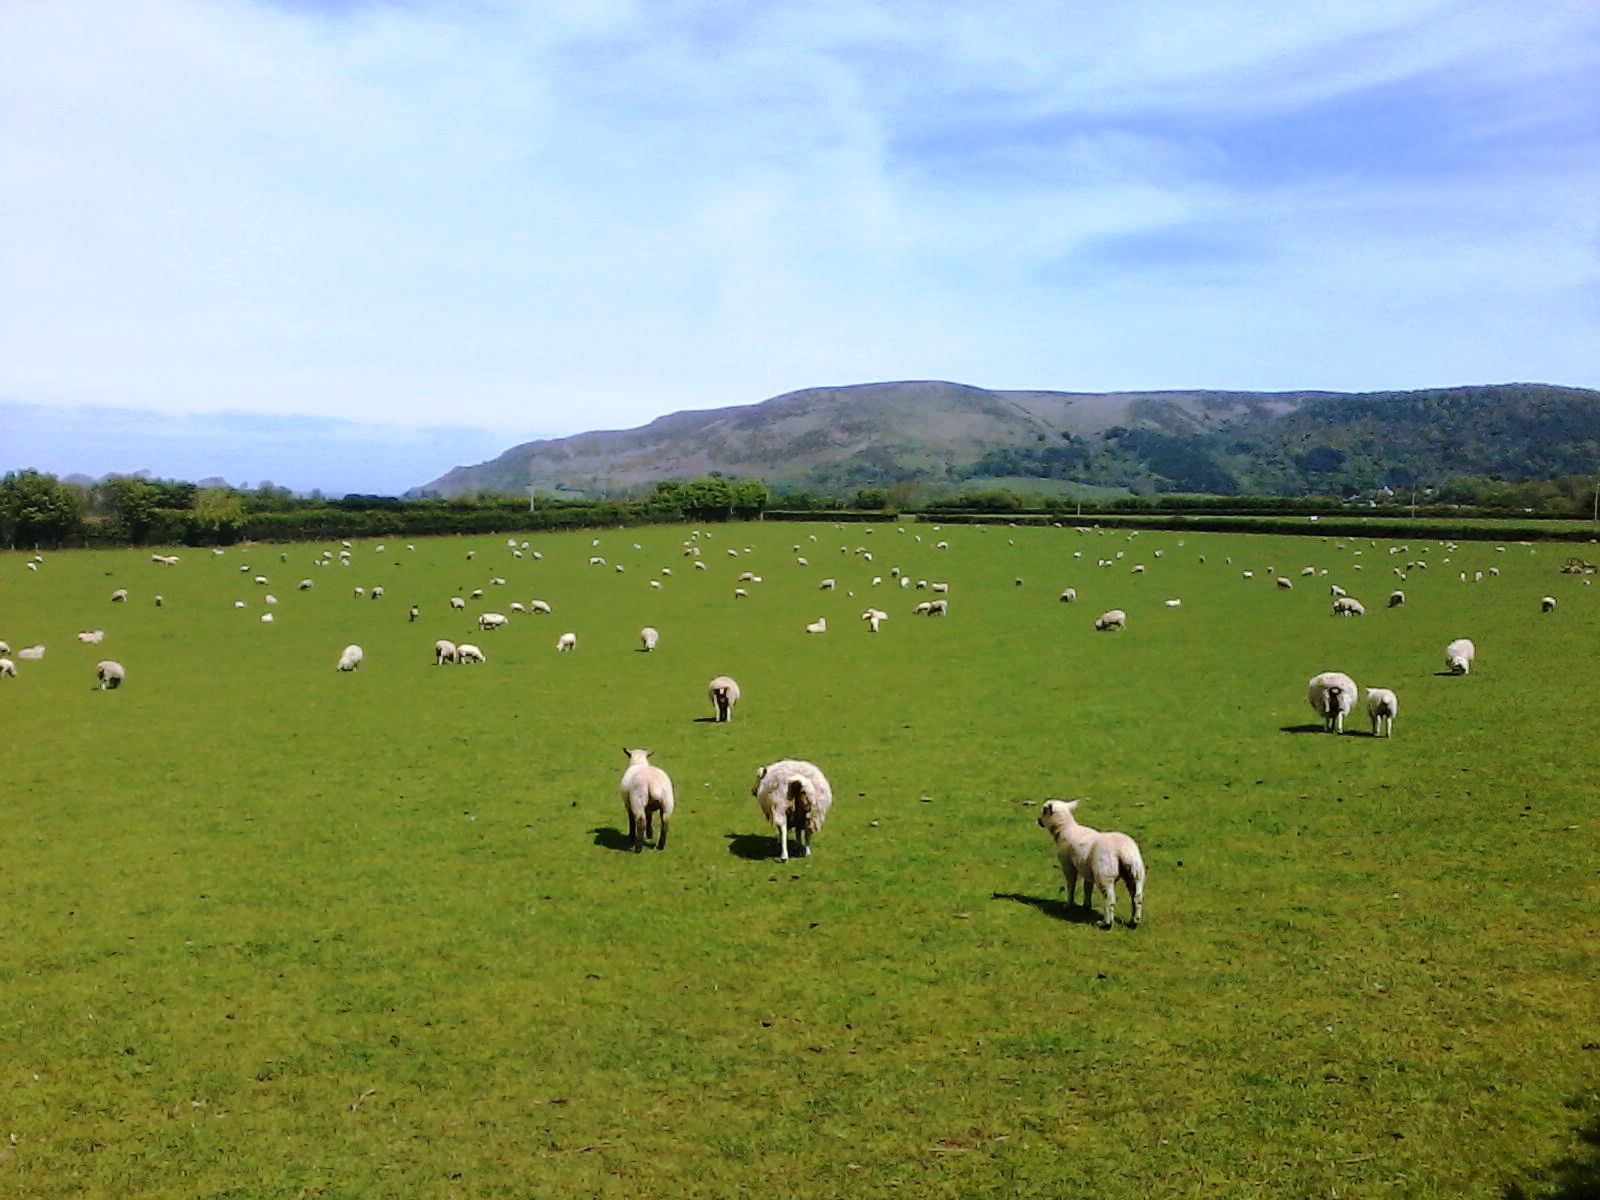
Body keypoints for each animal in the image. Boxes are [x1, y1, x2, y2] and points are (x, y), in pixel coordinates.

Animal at [1036, 803, 1152, 934]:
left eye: (1044, 811)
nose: (1038, 820)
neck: (1064, 829)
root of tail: (1123, 851)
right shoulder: (1087, 870)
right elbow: (1087, 888)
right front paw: (1086, 906)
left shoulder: (1068, 865)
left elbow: (1071, 885)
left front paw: (1068, 904)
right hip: (1136, 872)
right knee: (1137, 897)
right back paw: (1134, 921)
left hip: (1104, 873)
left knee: (1110, 898)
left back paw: (1106, 923)